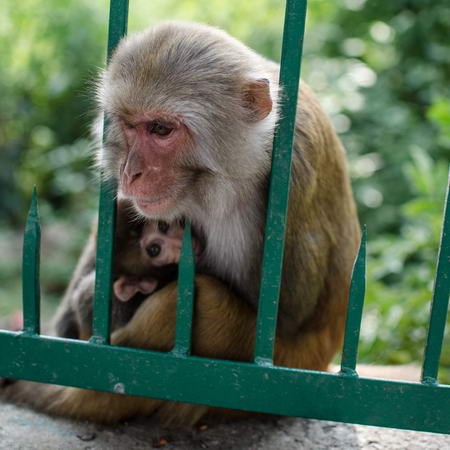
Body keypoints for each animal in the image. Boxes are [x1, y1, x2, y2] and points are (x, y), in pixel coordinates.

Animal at [0, 22, 358, 426]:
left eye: (160, 129)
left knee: (201, 299)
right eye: (129, 126)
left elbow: (291, 314)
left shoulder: (296, 161)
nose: (131, 173)